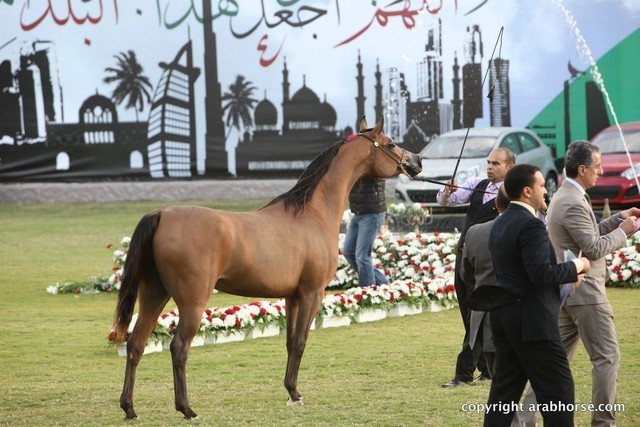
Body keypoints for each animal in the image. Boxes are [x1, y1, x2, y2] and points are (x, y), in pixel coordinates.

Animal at [112, 117, 422, 420]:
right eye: (391, 143)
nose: (416, 160)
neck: (311, 213)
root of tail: (161, 214)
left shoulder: (292, 296)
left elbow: (290, 342)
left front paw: (291, 391)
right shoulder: (311, 293)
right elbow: (301, 341)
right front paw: (295, 394)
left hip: (153, 295)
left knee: (136, 344)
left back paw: (129, 408)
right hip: (192, 303)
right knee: (178, 348)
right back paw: (186, 408)